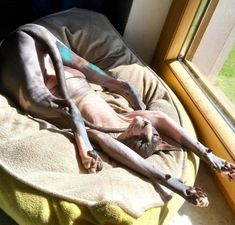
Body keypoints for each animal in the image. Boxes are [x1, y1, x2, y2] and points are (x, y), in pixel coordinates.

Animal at [0, 23, 234, 207]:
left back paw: (90, 151)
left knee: (104, 91)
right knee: (81, 102)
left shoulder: (127, 132)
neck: (121, 125)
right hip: (49, 72)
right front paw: (188, 189)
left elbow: (182, 148)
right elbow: (156, 165)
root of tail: (20, 30)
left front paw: (215, 163)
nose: (146, 126)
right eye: (147, 139)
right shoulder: (144, 123)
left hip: (52, 74)